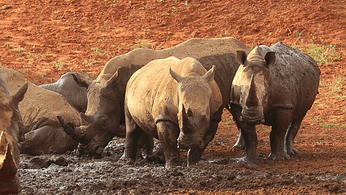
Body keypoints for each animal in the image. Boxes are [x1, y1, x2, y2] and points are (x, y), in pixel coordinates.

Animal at [58, 37, 249, 155]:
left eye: (104, 121)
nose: (84, 151)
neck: (113, 83)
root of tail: (245, 47)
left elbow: (140, 132)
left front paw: (144, 155)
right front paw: (144, 154)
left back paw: (240, 148)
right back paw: (239, 146)